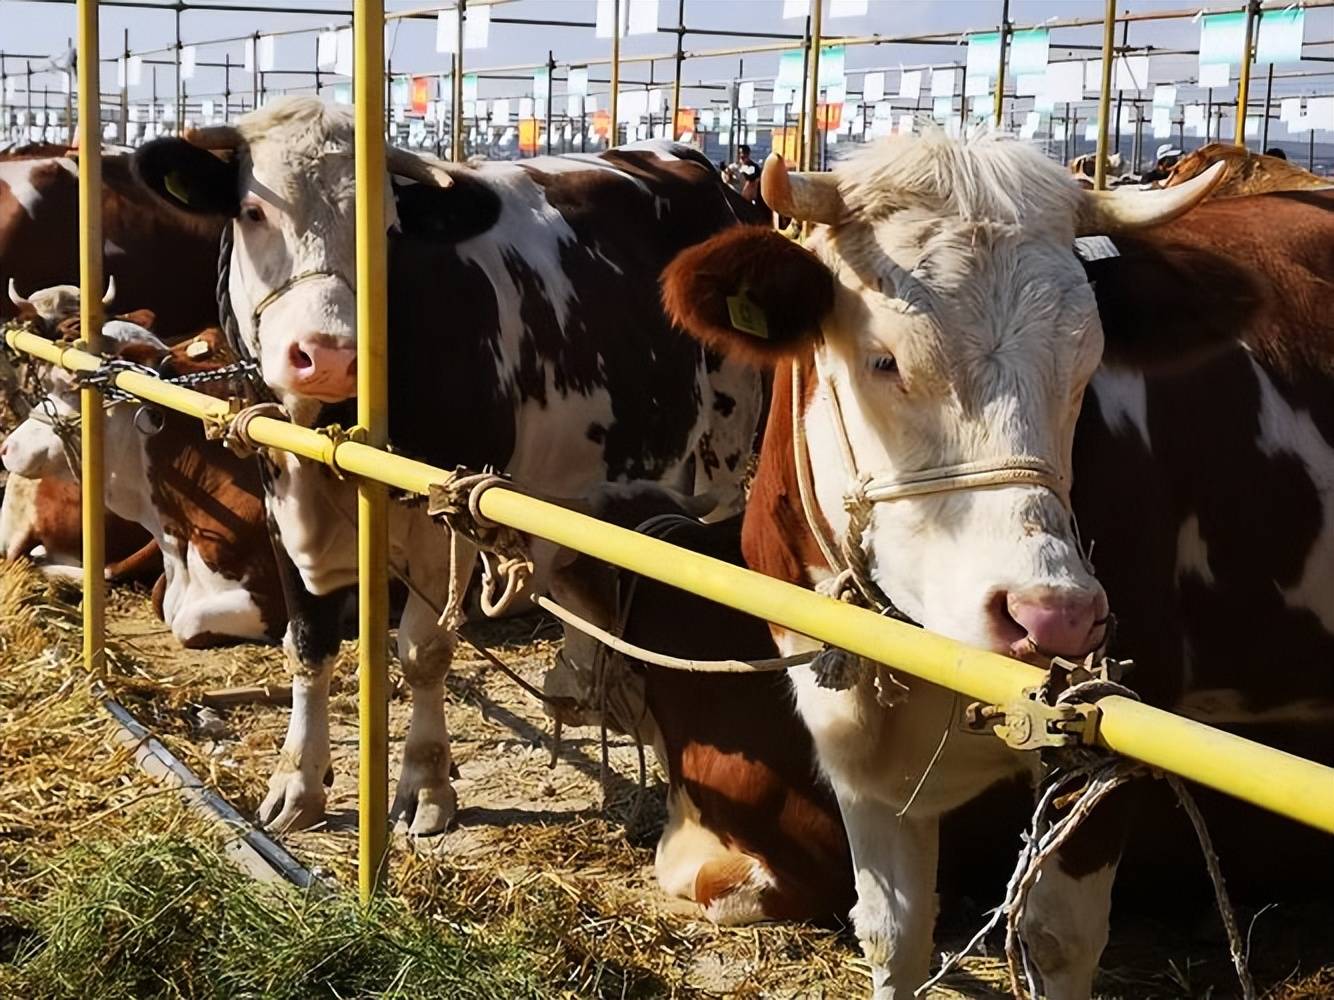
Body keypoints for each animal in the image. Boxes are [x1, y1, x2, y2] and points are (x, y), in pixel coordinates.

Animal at [130, 100, 768, 837]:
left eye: (388, 231)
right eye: (254, 212)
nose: (329, 356)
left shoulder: (444, 514)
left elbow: (424, 650)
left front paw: (426, 783)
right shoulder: (278, 494)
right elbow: (308, 642)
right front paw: (298, 782)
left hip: (724, 444)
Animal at [653, 133, 1334, 1000]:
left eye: (1088, 364)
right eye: (883, 359)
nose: (1056, 616)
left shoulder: (1111, 734)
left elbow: (1056, 940)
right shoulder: (850, 741)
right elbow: (894, 933)